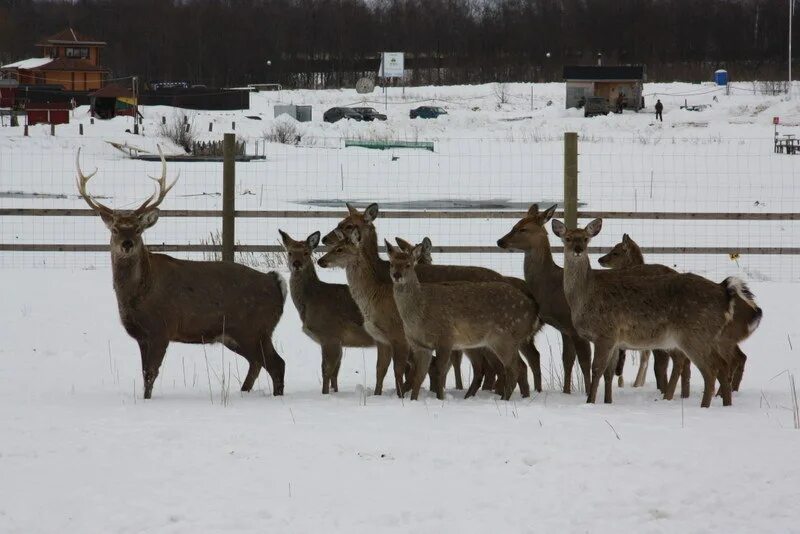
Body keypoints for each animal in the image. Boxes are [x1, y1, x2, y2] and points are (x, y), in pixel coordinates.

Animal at [76, 149, 288, 400]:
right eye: (115, 229)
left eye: (137, 229)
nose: (127, 244)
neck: (138, 294)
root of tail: (275, 281)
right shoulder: (142, 336)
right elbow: (145, 373)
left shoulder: (161, 328)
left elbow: (150, 374)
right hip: (238, 334)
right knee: (257, 363)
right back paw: (243, 392)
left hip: (255, 327)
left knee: (276, 364)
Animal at [278, 231, 390, 398]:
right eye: (289, 252)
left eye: (306, 252)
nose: (296, 264)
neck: (311, 300)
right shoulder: (339, 340)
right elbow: (335, 374)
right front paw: (334, 392)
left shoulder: (329, 334)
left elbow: (326, 371)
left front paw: (324, 394)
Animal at [386, 241, 540, 400]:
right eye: (391, 263)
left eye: (408, 264)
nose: (397, 275)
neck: (419, 313)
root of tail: (533, 309)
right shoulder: (420, 345)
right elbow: (419, 376)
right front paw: (413, 400)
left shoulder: (446, 338)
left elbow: (439, 371)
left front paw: (440, 398)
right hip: (506, 341)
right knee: (521, 366)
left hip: (504, 338)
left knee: (515, 368)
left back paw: (505, 399)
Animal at [494, 204, 592, 394]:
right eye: (514, 224)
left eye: (523, 228)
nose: (500, 241)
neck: (551, 286)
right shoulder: (564, 328)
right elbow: (567, 360)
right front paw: (566, 392)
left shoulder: (574, 326)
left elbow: (584, 361)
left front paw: (587, 392)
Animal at [552, 218, 764, 410]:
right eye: (567, 238)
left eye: (586, 238)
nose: (578, 249)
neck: (585, 296)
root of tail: (724, 293)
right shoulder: (614, 339)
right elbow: (609, 373)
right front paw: (608, 402)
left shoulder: (605, 332)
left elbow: (596, 369)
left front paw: (590, 402)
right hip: (709, 338)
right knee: (722, 366)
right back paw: (725, 405)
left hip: (694, 335)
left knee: (711, 370)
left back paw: (704, 406)